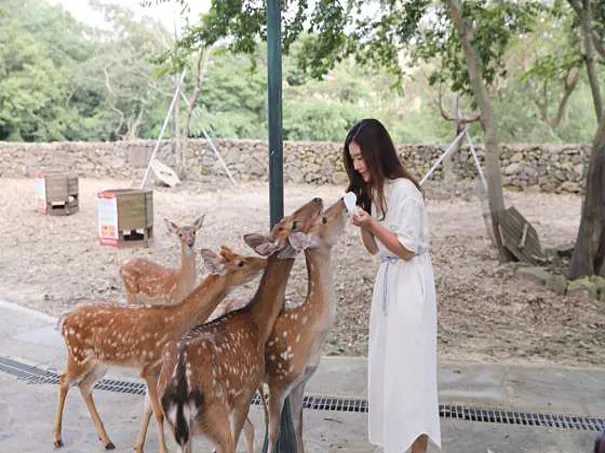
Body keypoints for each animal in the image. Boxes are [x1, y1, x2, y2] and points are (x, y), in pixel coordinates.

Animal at [52, 245, 266, 452]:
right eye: (241, 262)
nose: (263, 262)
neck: (178, 321)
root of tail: (64, 321)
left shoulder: (155, 370)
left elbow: (148, 408)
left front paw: (138, 446)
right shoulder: (150, 367)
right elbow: (158, 413)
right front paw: (162, 449)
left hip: (100, 363)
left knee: (84, 385)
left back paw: (106, 440)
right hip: (78, 355)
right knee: (64, 380)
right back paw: (57, 438)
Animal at [158, 197, 324, 452]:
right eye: (292, 223)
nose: (317, 200)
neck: (257, 324)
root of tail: (178, 390)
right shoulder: (245, 392)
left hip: (179, 429)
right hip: (215, 413)